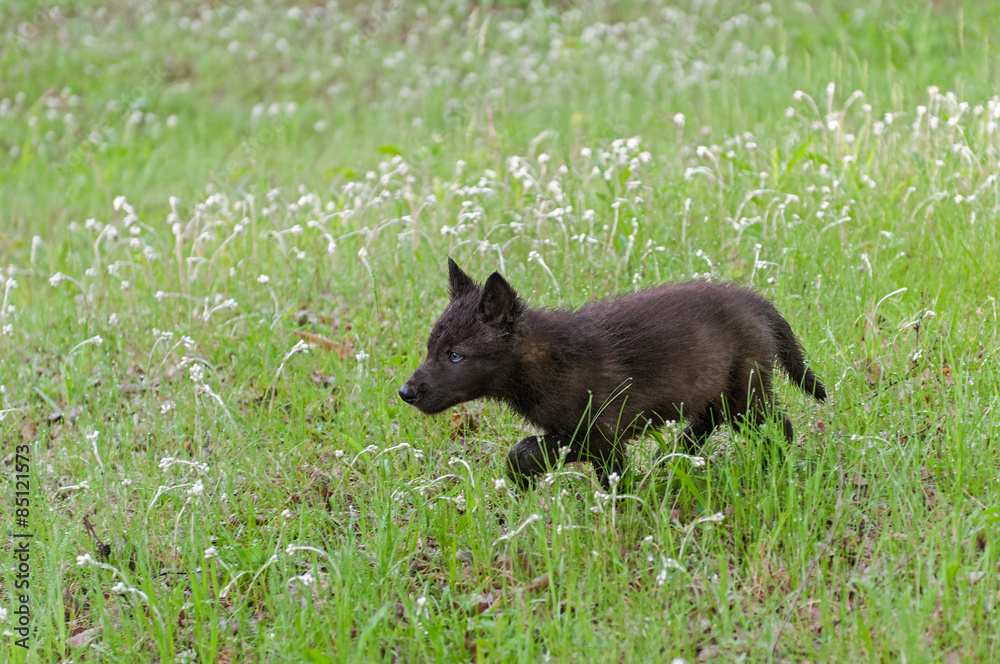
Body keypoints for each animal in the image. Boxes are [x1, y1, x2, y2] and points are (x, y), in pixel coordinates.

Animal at [399, 259, 826, 489]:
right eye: (430, 349)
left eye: (455, 356)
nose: (406, 392)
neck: (543, 359)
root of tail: (758, 302)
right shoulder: (580, 435)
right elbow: (527, 452)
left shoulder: (601, 434)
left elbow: (598, 475)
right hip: (716, 387)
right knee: (708, 420)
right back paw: (670, 458)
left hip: (745, 391)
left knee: (778, 428)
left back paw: (774, 469)